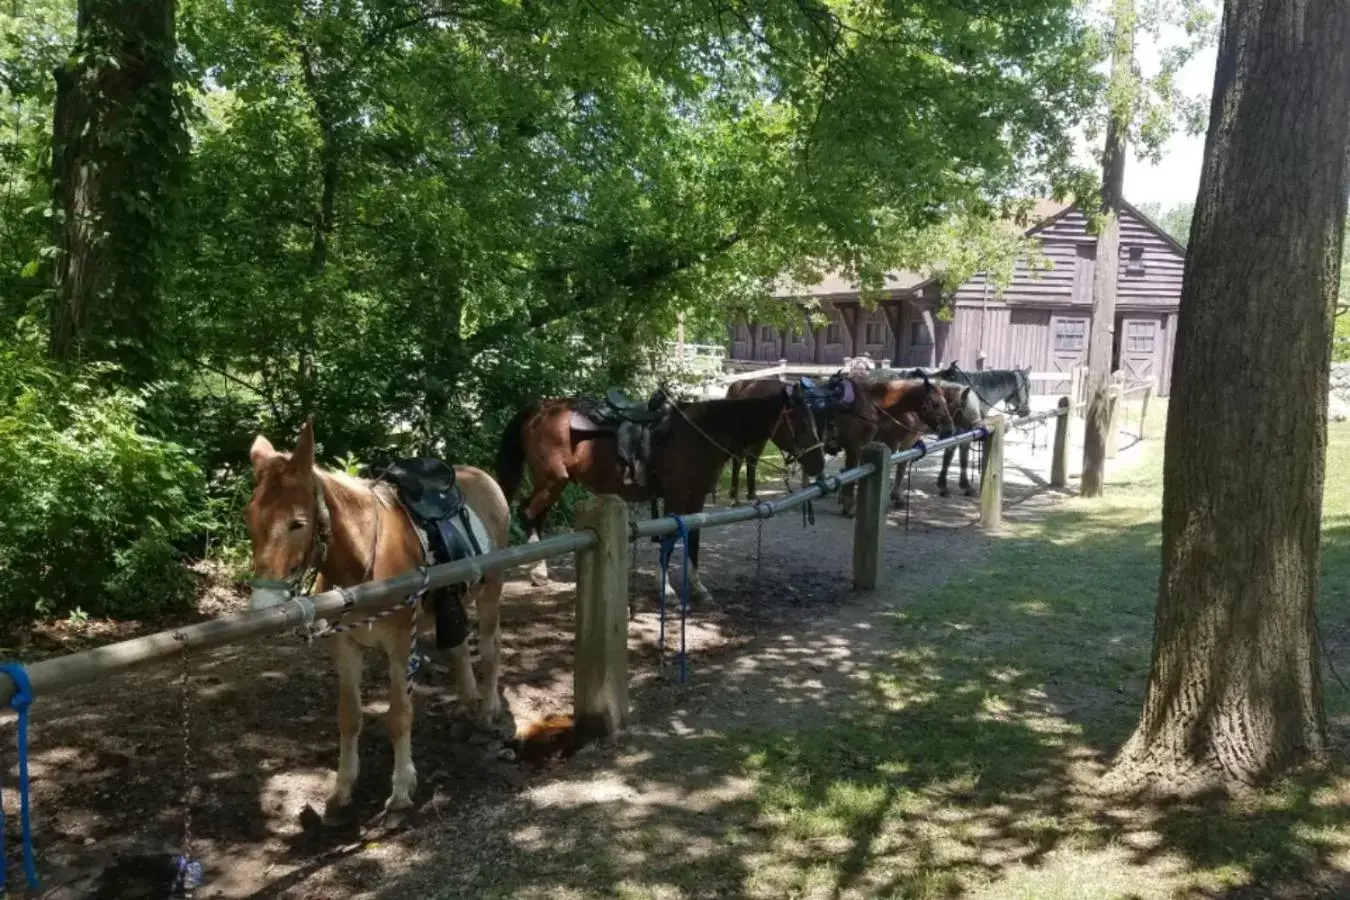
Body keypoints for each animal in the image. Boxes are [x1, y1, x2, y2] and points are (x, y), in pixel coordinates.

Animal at [247, 418, 510, 820]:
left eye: (297, 523)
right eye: (248, 517)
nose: (263, 604)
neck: (363, 564)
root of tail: (482, 476)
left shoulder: (400, 649)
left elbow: (399, 715)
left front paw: (401, 791)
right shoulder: (345, 648)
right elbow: (349, 716)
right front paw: (342, 789)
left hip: (490, 590)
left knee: (491, 646)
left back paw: (488, 709)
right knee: (460, 644)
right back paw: (468, 698)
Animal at [502, 388, 826, 599]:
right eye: (799, 422)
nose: (819, 462)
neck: (700, 433)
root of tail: (539, 410)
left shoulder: (696, 500)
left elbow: (693, 539)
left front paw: (697, 586)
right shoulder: (676, 497)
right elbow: (670, 539)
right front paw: (666, 587)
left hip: (555, 483)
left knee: (534, 516)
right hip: (552, 480)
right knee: (527, 513)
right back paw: (538, 573)